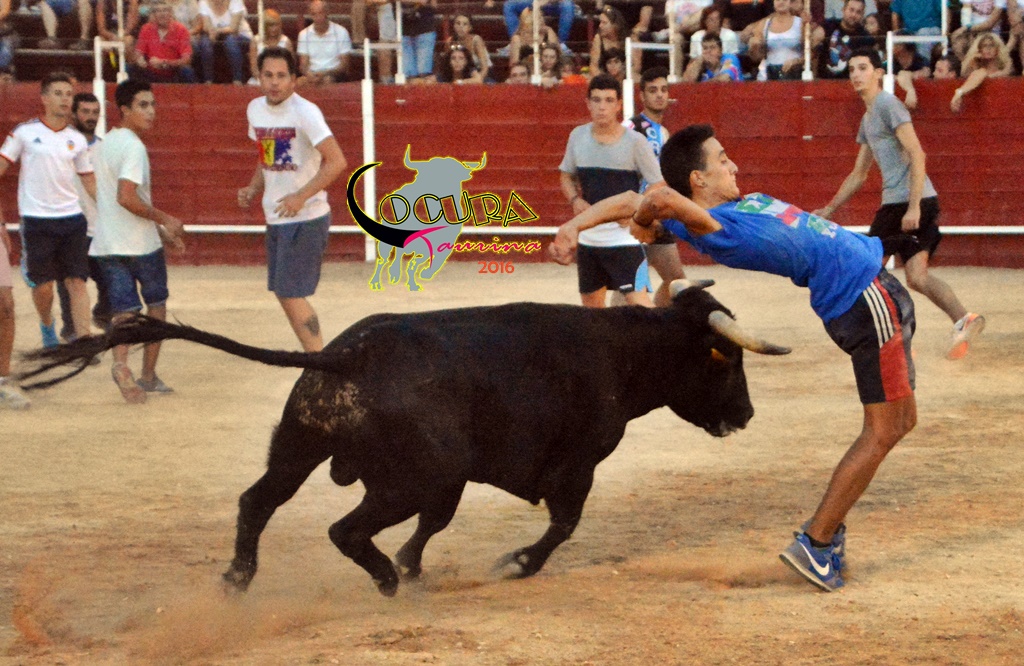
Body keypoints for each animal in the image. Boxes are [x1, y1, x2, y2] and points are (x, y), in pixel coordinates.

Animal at [19, 281, 789, 596]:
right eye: (729, 363)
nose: (750, 415)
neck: (623, 353)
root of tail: (345, 355)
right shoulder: (577, 464)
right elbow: (563, 525)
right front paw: (514, 563)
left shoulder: (456, 479)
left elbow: (437, 523)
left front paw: (419, 565)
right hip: (402, 476)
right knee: (344, 530)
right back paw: (384, 579)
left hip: (300, 447)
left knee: (257, 502)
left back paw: (239, 579)